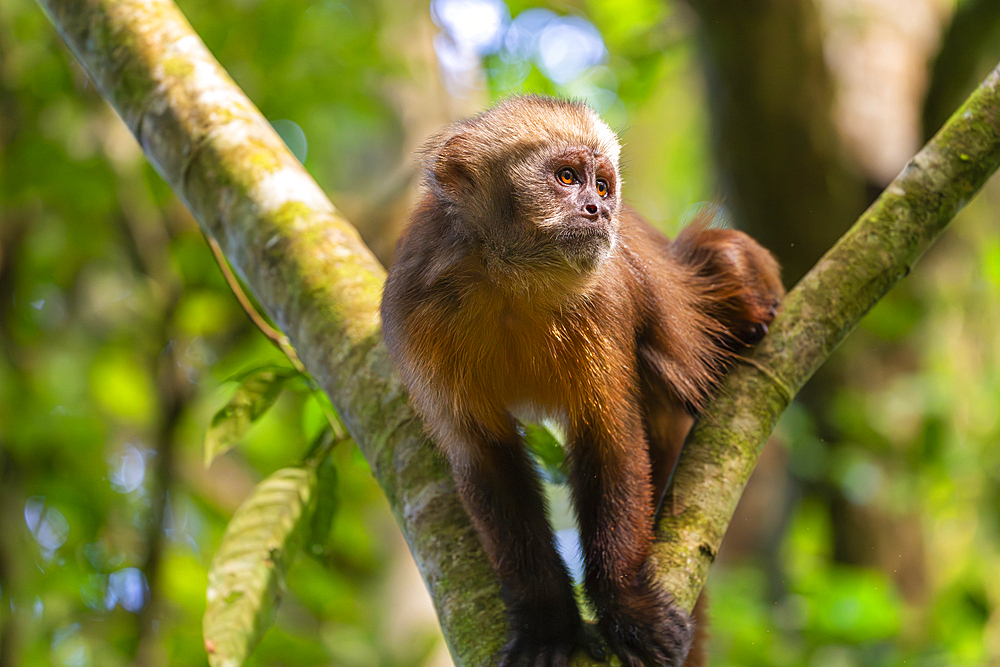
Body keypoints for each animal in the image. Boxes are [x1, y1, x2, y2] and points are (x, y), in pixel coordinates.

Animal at [378, 95, 784, 667]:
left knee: (721, 258)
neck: (509, 284)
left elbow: (608, 438)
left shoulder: (603, 299)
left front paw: (626, 605)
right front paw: (547, 623)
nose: (600, 209)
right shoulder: (416, 307)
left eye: (603, 186)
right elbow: (484, 455)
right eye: (567, 177)